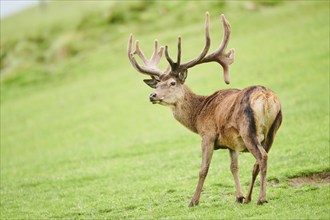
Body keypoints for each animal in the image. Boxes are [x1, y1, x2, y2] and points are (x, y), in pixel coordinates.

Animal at [127, 12, 282, 207]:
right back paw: (249, 198)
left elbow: (203, 169)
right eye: (157, 84)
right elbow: (234, 167)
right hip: (273, 130)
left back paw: (261, 198)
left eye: (172, 82)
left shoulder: (207, 135)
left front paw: (193, 201)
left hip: (248, 129)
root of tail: (267, 98)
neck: (198, 115)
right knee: (259, 161)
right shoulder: (231, 142)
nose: (152, 95)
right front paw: (238, 197)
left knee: (262, 157)